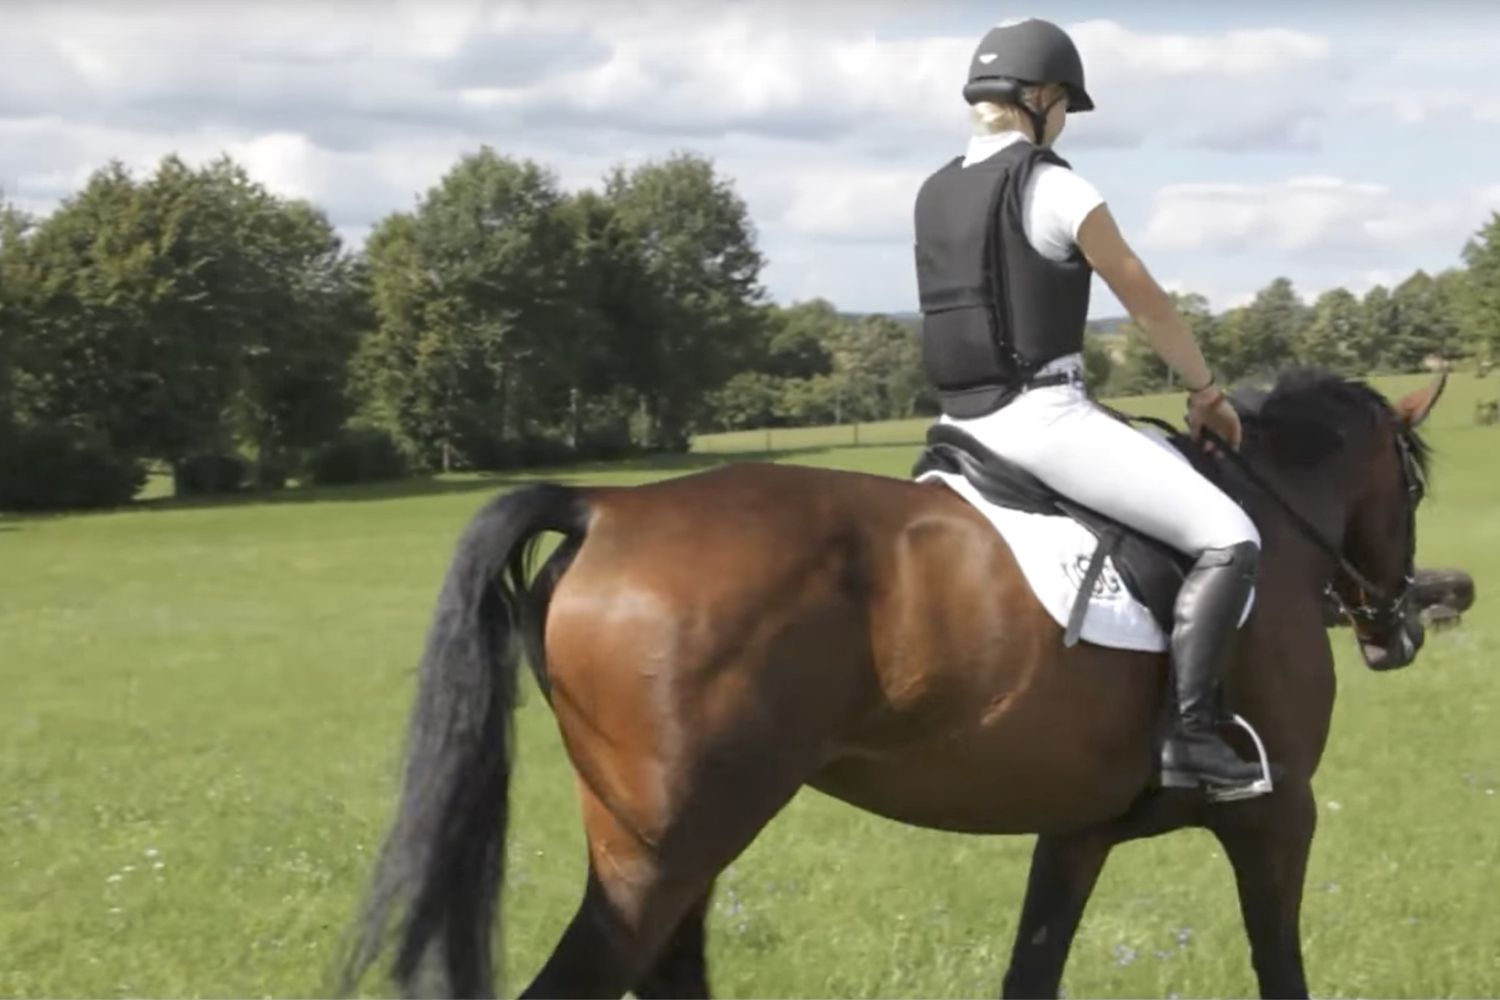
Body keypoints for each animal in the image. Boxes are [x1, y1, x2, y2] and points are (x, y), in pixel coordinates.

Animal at [340, 369, 1446, 999]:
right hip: (663, 854)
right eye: (1416, 483)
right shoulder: (1278, 813)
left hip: (661, 851)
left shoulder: (1077, 831)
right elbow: (1280, 967)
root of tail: (606, 507)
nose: (1395, 623)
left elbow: (1032, 972)